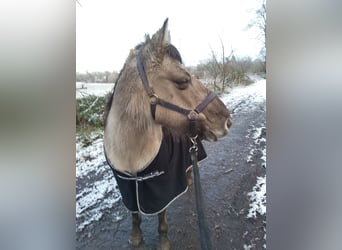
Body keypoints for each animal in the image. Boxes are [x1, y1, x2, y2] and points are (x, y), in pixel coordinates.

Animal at [104, 18, 232, 249]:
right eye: (183, 81)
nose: (227, 121)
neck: (131, 156)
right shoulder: (128, 187)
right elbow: (134, 215)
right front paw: (136, 237)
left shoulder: (161, 188)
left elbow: (161, 216)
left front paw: (163, 241)